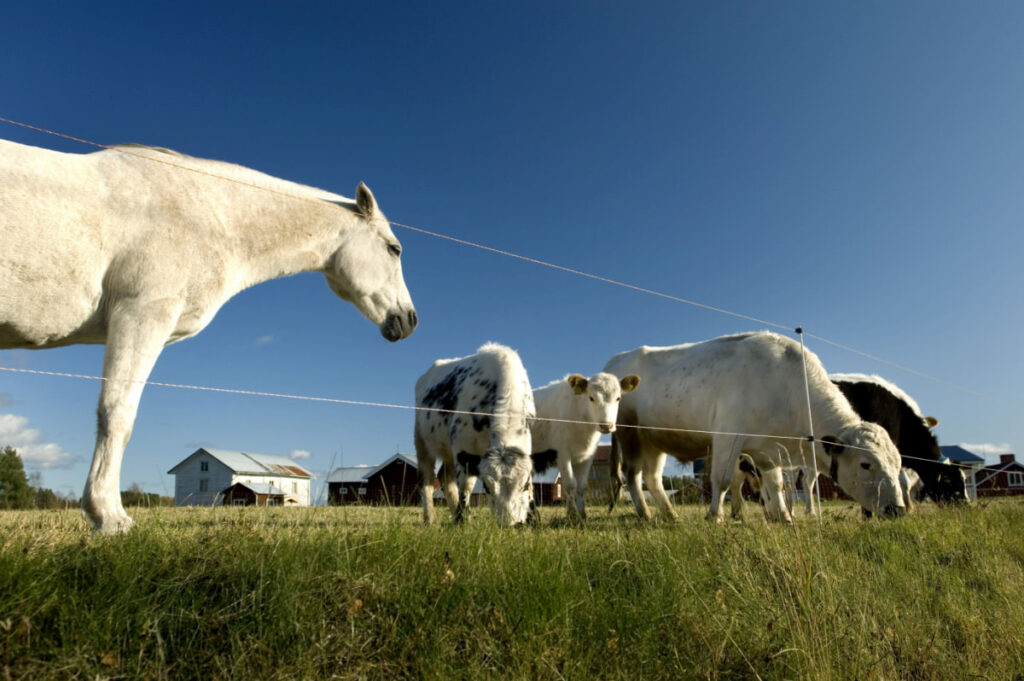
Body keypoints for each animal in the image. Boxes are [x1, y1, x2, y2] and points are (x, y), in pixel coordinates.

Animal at [1, 138, 415, 532]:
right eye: (394, 249)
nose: (409, 320)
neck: (208, 216)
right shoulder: (142, 315)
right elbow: (117, 413)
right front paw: (108, 516)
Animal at [411, 342, 540, 528]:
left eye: (524, 485)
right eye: (486, 487)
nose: (508, 524)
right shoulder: (463, 446)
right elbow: (466, 484)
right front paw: (464, 520)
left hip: (447, 451)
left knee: (445, 477)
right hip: (421, 441)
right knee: (426, 480)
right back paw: (432, 519)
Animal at [528, 368, 638, 518]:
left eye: (618, 398)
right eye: (591, 398)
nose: (606, 426)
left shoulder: (586, 456)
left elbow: (581, 486)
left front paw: (582, 514)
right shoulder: (562, 454)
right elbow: (569, 485)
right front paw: (572, 515)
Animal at [602, 331, 909, 522]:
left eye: (898, 465)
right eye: (866, 465)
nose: (898, 509)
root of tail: (615, 361)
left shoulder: (767, 450)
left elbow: (775, 484)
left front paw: (784, 516)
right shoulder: (728, 434)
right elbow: (723, 480)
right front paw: (714, 516)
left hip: (654, 440)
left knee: (652, 478)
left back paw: (670, 515)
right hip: (630, 435)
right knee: (633, 475)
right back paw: (646, 513)